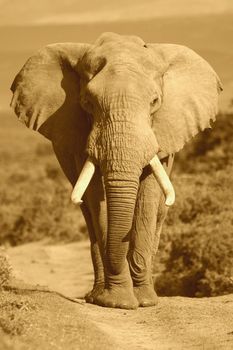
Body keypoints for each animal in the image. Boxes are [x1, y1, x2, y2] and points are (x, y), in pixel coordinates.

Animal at [10, 30, 222, 308]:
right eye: (87, 103)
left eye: (155, 102)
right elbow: (95, 198)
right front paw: (116, 301)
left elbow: (148, 196)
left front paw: (144, 301)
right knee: (88, 215)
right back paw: (95, 296)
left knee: (158, 214)